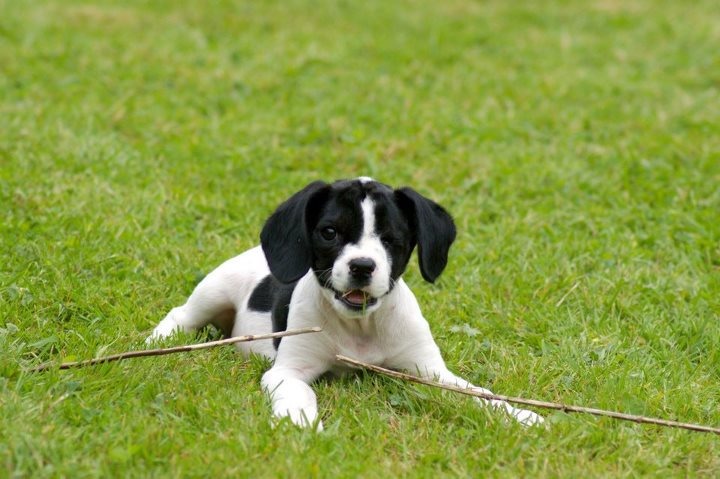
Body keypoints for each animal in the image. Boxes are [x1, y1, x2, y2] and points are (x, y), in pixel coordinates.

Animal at [148, 177, 543, 429]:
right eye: (330, 232)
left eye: (391, 239)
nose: (362, 266)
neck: (361, 327)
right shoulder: (288, 370)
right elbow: (299, 393)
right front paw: (298, 423)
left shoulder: (431, 371)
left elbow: (478, 393)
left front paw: (520, 415)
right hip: (214, 291)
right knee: (181, 315)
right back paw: (157, 342)